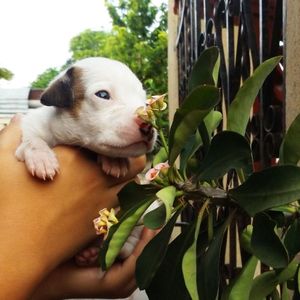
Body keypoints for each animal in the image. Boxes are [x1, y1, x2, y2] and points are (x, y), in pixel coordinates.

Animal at [15, 57, 157, 179]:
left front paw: (114, 160)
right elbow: (33, 139)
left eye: (146, 103)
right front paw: (41, 157)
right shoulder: (32, 122)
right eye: (103, 94)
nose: (149, 126)